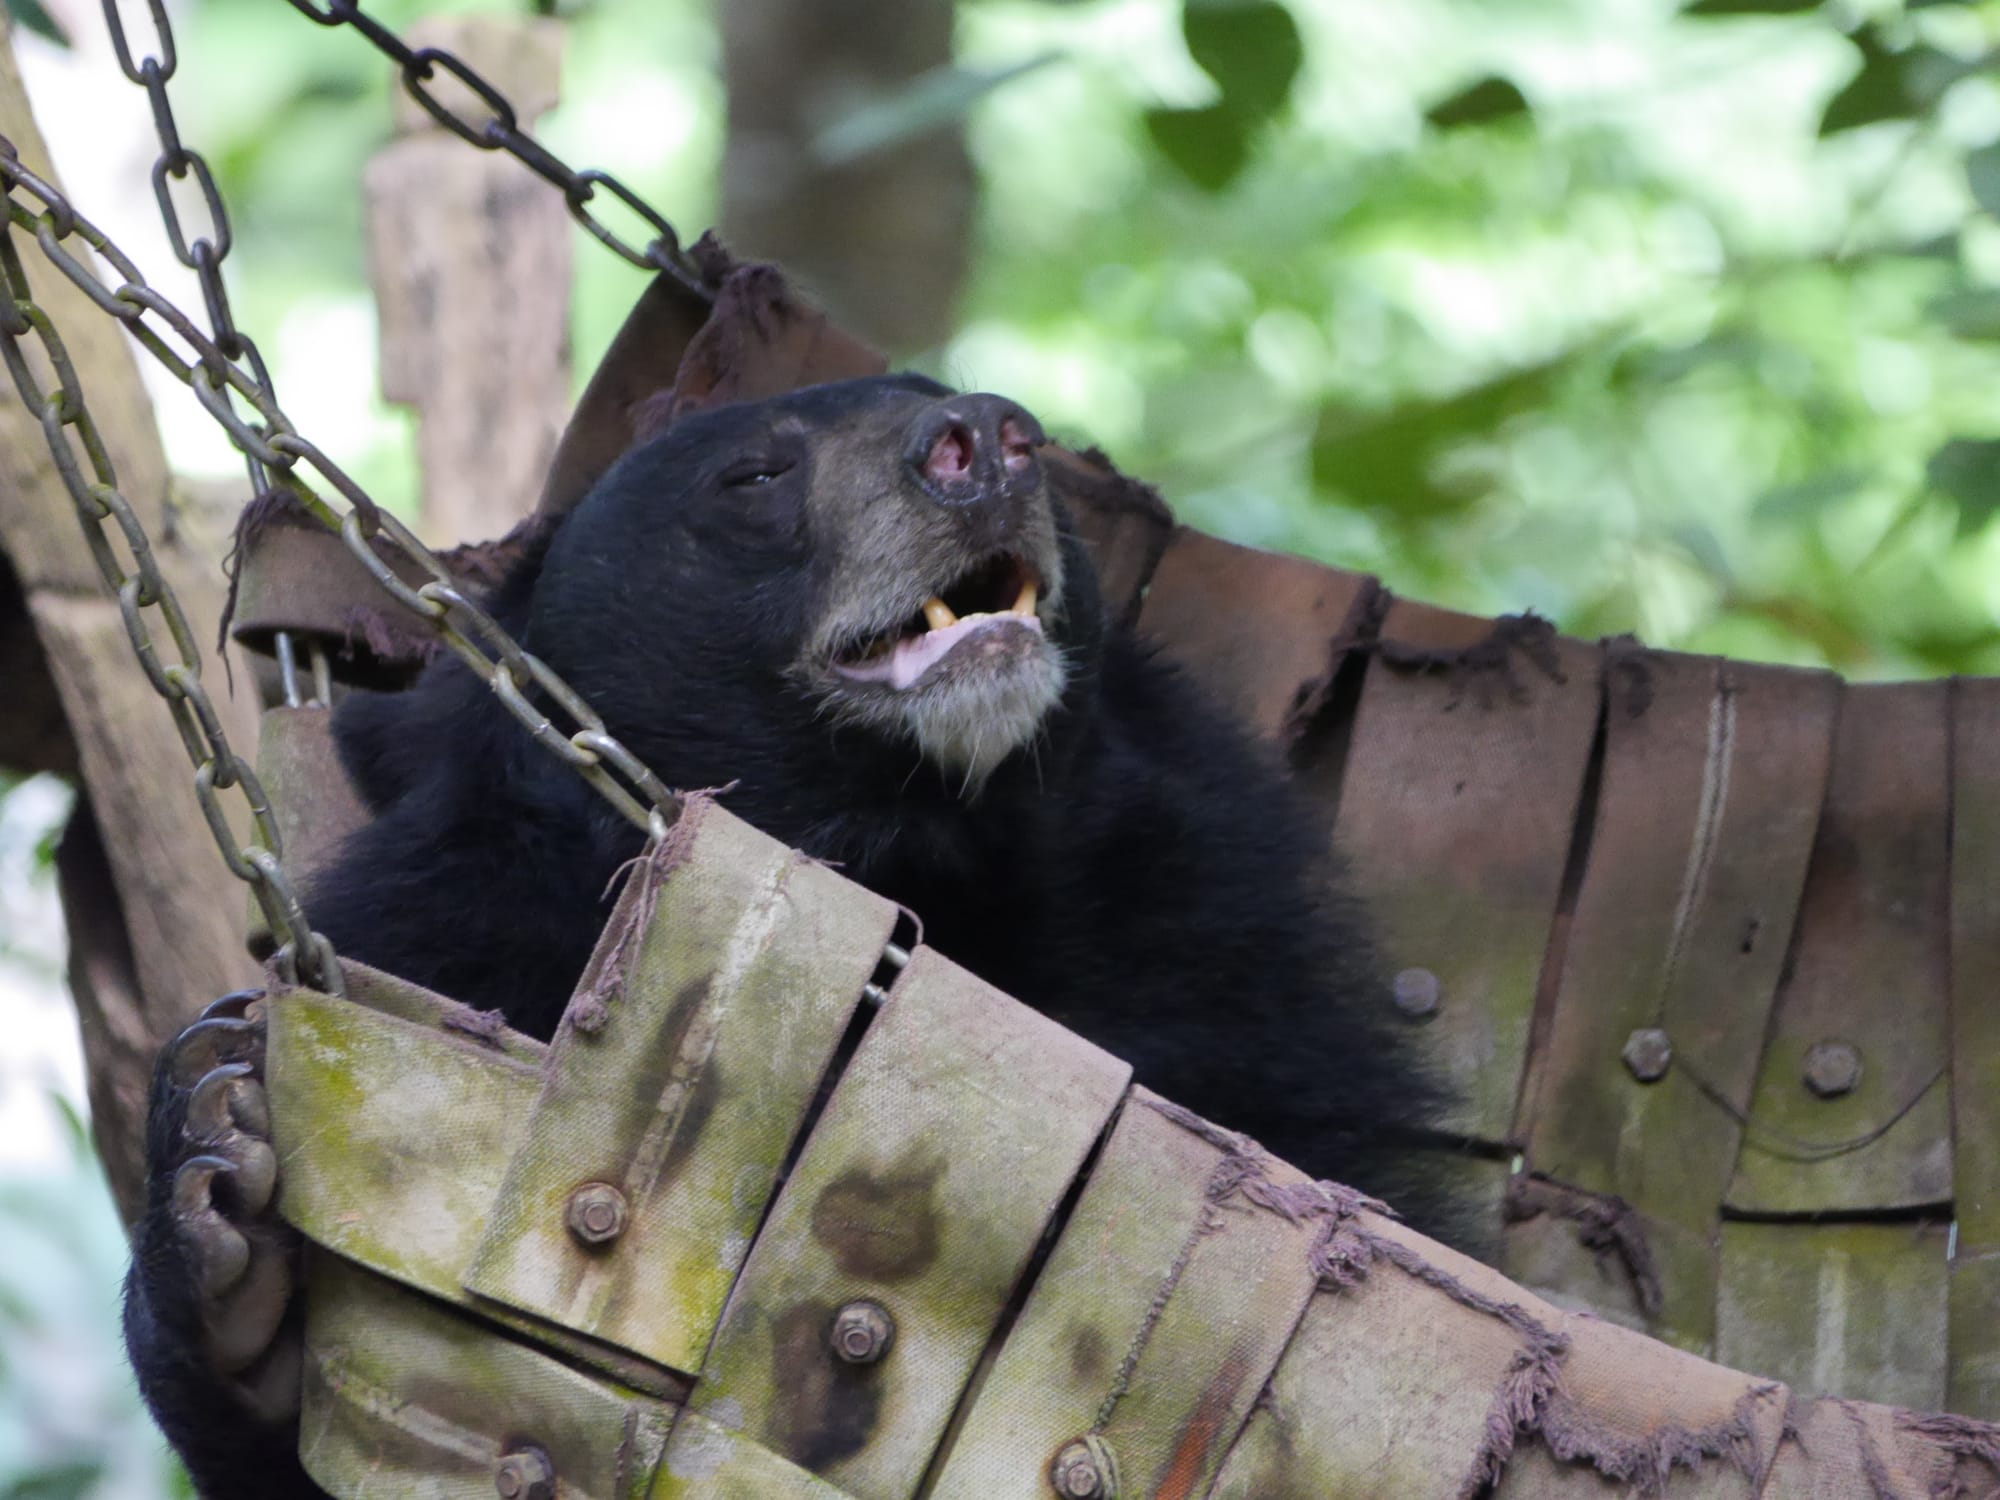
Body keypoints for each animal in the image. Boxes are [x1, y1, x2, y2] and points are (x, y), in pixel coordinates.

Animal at [125, 378, 1464, 1500]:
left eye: (969, 412)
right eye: (756, 475)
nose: (985, 440)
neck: (904, 841)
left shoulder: (1214, 957)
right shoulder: (461, 927)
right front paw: (224, 1192)